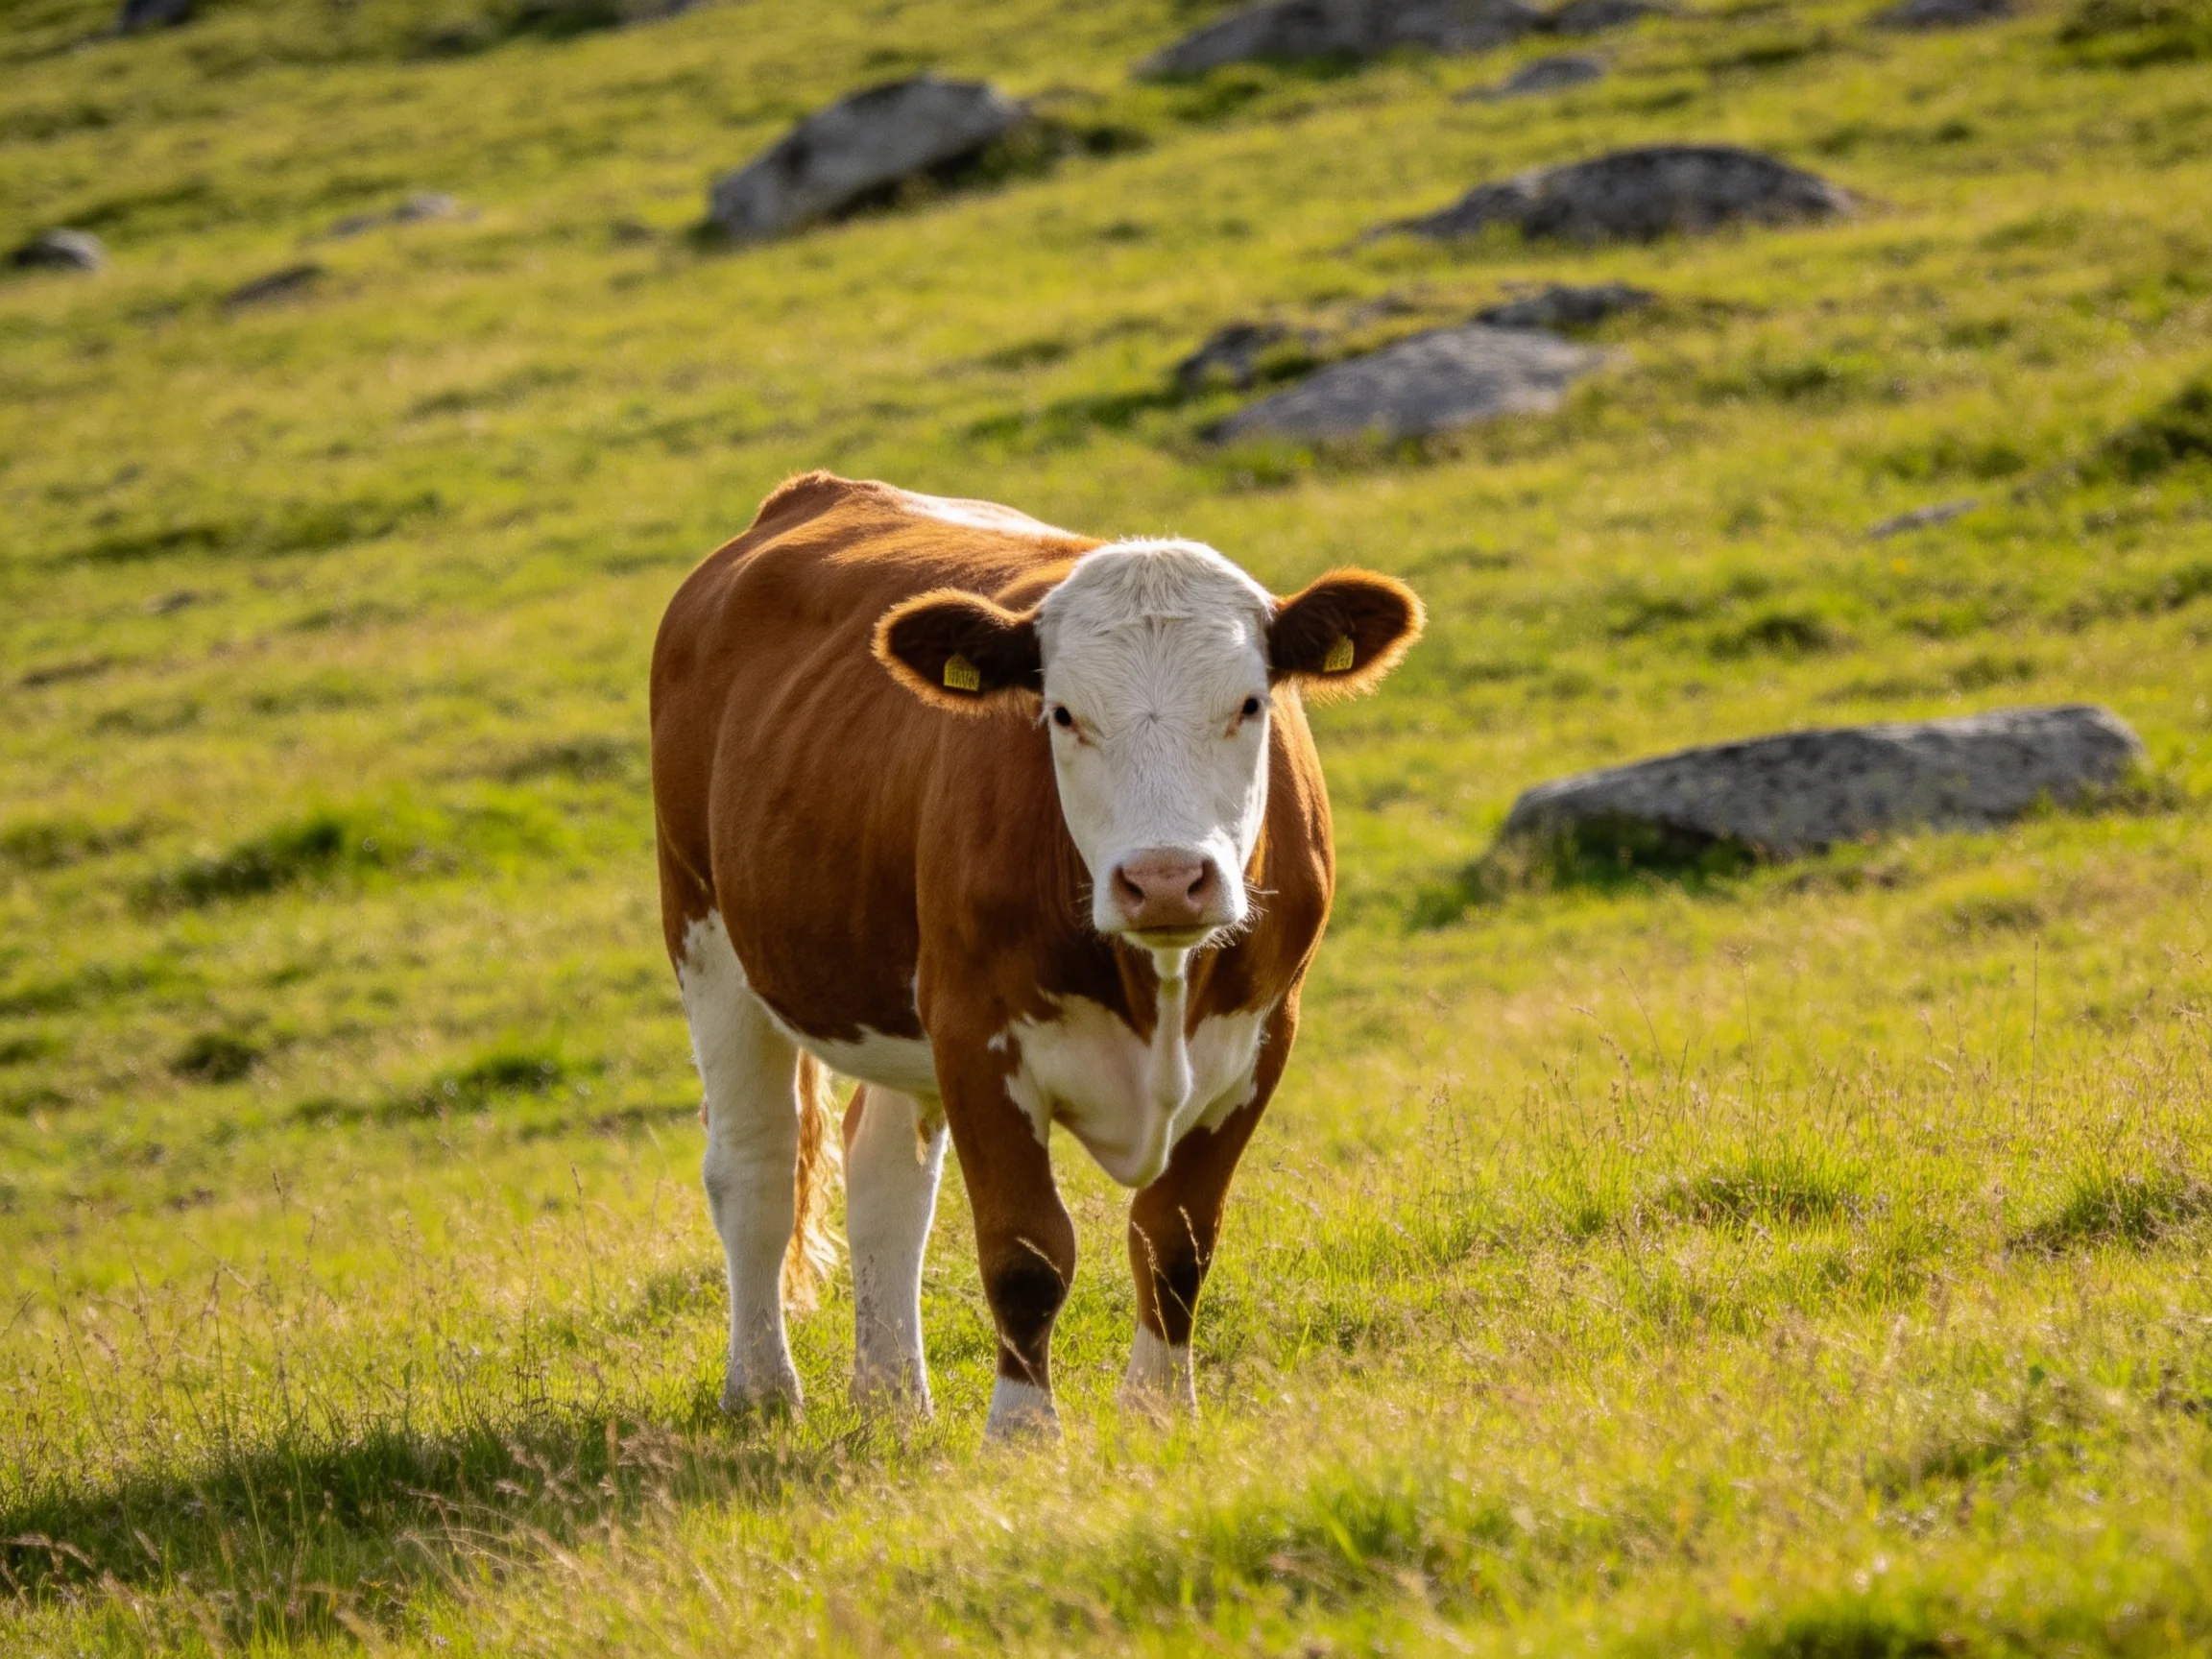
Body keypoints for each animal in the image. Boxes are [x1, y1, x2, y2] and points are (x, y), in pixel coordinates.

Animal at [650, 473, 1421, 1438]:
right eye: (1062, 713)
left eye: (1251, 704)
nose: (1165, 881)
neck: (1155, 984)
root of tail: (814, 492)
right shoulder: (977, 1035)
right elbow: (1027, 1253)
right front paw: (1021, 1435)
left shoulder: (1263, 1036)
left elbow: (1175, 1238)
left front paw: (1160, 1414)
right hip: (706, 934)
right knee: (754, 1167)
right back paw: (761, 1389)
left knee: (884, 1181)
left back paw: (894, 1399)